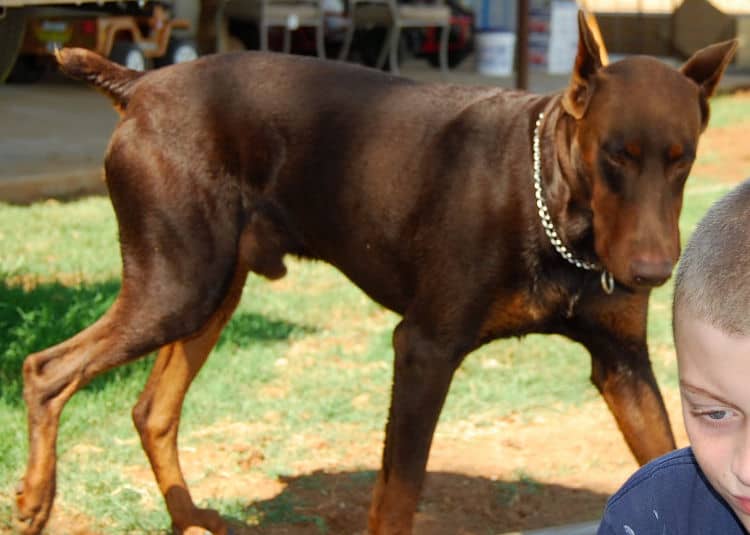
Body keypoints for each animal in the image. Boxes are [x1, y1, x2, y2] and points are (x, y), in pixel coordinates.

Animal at [14, 11, 736, 535]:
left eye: (683, 158)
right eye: (616, 154)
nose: (652, 271)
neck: (556, 220)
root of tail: (138, 88)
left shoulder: (623, 361)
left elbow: (666, 449)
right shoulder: (424, 347)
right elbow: (398, 493)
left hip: (213, 286)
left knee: (152, 410)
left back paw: (189, 518)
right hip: (178, 283)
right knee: (47, 370)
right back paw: (34, 501)